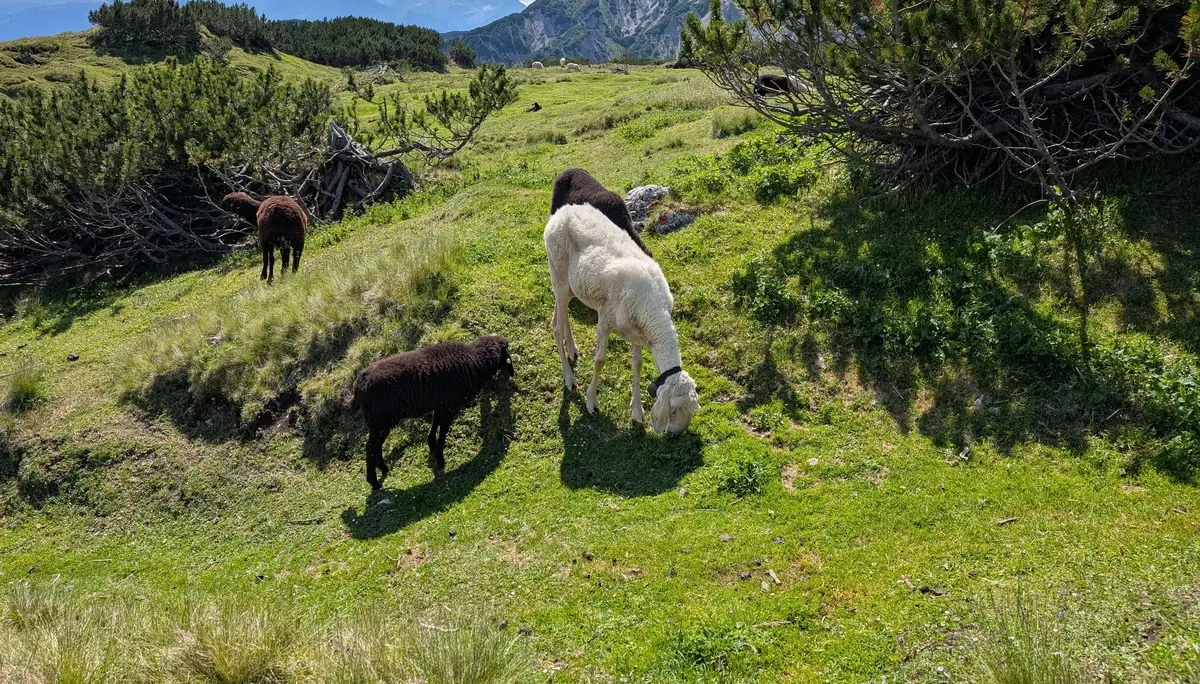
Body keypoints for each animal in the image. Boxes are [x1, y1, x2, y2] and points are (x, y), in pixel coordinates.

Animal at [350, 334, 515, 490]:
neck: (475, 360)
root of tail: (358, 386)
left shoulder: (440, 404)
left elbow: (436, 422)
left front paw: (431, 445)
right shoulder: (449, 405)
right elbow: (444, 430)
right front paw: (440, 458)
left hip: (378, 422)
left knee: (376, 446)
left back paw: (383, 468)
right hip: (380, 420)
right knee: (370, 448)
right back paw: (374, 482)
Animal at [545, 203, 700, 435]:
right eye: (673, 410)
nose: (675, 434)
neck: (653, 309)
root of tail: (562, 211)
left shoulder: (638, 333)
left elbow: (637, 365)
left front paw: (637, 412)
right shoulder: (604, 320)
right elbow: (600, 361)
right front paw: (591, 401)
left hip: (571, 286)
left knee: (561, 316)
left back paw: (572, 348)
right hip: (559, 274)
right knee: (555, 325)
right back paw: (569, 377)